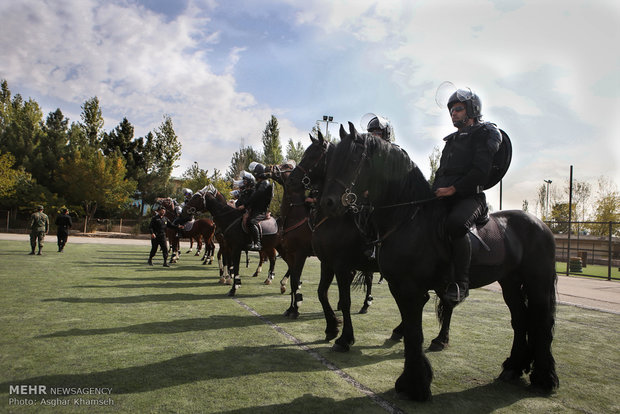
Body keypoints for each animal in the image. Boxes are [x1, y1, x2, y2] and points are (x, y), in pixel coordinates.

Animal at [322, 123, 560, 402]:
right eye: (331, 160)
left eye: (352, 159)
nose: (328, 202)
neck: (408, 218)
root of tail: (541, 224)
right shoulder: (399, 287)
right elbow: (411, 332)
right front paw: (411, 381)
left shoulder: (412, 289)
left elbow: (414, 333)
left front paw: (416, 386)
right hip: (510, 282)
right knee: (520, 319)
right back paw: (513, 368)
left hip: (538, 282)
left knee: (541, 321)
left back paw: (544, 379)